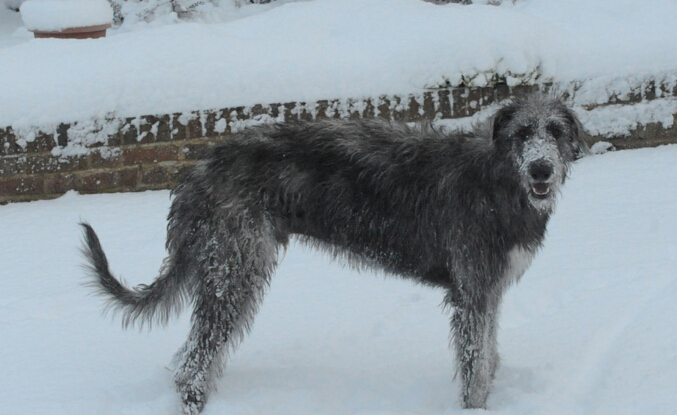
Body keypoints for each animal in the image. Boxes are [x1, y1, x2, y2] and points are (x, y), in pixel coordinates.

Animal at [81, 92, 588, 414]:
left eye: (555, 130)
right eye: (522, 132)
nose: (541, 169)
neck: (499, 179)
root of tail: (198, 170)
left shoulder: (488, 289)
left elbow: (489, 352)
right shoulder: (473, 288)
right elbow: (475, 365)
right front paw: (476, 407)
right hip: (235, 268)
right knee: (194, 362)